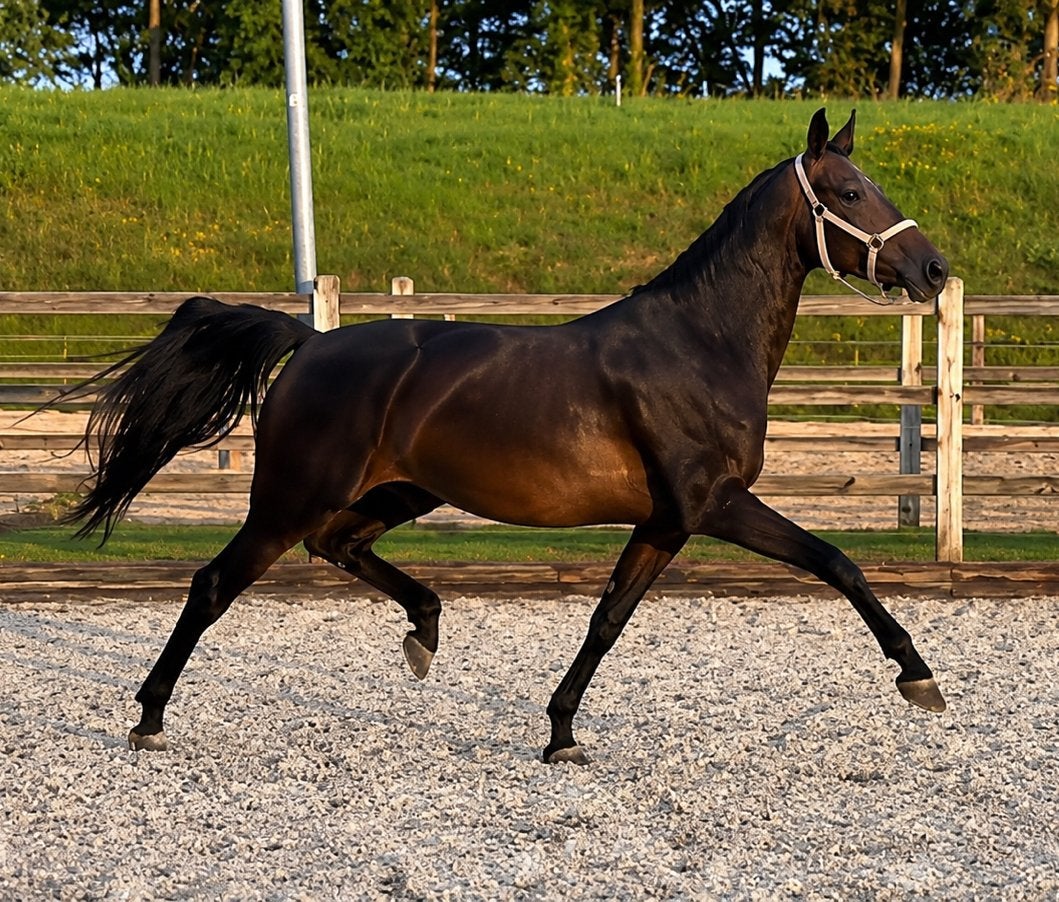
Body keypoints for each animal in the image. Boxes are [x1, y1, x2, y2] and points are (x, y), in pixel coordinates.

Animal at [64, 109, 949, 764]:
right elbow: (836, 562)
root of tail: (309, 341)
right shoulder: (713, 504)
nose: (933, 270)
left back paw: (423, 629)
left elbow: (607, 619)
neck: (698, 343)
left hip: (399, 492)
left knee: (339, 547)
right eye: (847, 191)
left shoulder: (663, 522)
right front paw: (917, 677)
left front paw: (560, 734)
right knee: (215, 584)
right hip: (290, 499)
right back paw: (149, 719)